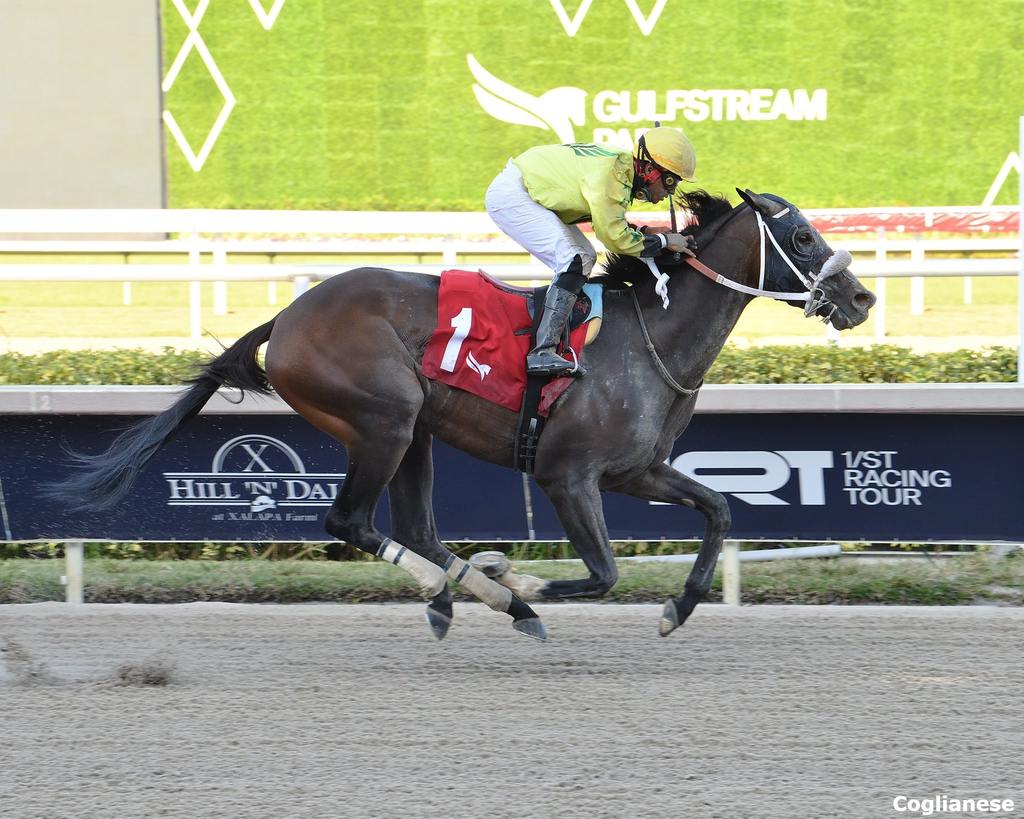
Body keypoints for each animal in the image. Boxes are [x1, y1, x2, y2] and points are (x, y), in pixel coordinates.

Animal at [58, 190, 872, 638]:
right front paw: (530, 584)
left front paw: (680, 606)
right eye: (802, 236)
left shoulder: (637, 470)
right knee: (350, 522)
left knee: (414, 528)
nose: (861, 297)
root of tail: (287, 317)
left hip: (413, 430)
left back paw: (467, 591)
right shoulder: (567, 475)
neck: (651, 338)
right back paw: (494, 594)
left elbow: (720, 509)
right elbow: (604, 571)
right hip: (383, 419)